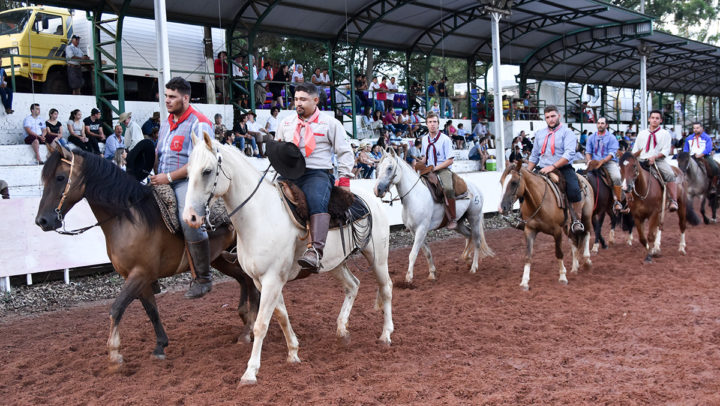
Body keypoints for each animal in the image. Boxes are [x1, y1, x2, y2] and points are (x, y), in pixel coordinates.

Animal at [34, 145, 258, 364]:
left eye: (60, 177)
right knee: (243, 278)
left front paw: (114, 353)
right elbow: (151, 311)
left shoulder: (140, 273)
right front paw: (160, 346)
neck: (129, 218)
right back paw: (245, 319)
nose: (42, 221)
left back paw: (249, 327)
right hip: (219, 258)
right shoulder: (137, 277)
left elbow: (116, 308)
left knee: (250, 281)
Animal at [180, 132, 394, 386]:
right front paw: (293, 352)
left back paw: (386, 334)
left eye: (207, 171)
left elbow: (261, 323)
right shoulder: (263, 280)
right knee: (353, 285)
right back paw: (342, 330)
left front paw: (250, 372)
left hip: (377, 257)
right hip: (335, 263)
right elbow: (281, 315)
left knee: (386, 288)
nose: (190, 217)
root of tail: (372, 198)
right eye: (188, 170)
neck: (259, 214)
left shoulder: (272, 279)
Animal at [372, 147, 496, 284]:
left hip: (474, 217)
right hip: (458, 223)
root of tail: (475, 188)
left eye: (389, 168)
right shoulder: (414, 231)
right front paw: (432, 273)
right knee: (469, 235)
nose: (377, 190)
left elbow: (413, 253)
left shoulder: (421, 229)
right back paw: (467, 259)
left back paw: (473, 267)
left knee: (477, 240)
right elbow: (427, 252)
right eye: (378, 168)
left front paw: (409, 277)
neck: (415, 196)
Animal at [498, 160, 592, 290]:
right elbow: (528, 256)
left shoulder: (557, 231)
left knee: (587, 234)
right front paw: (524, 282)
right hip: (567, 227)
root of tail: (583, 178)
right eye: (501, 182)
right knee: (574, 241)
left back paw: (587, 261)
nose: (502, 208)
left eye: (514, 182)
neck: (539, 202)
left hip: (586, 216)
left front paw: (562, 277)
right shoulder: (529, 230)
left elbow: (559, 253)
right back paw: (574, 268)